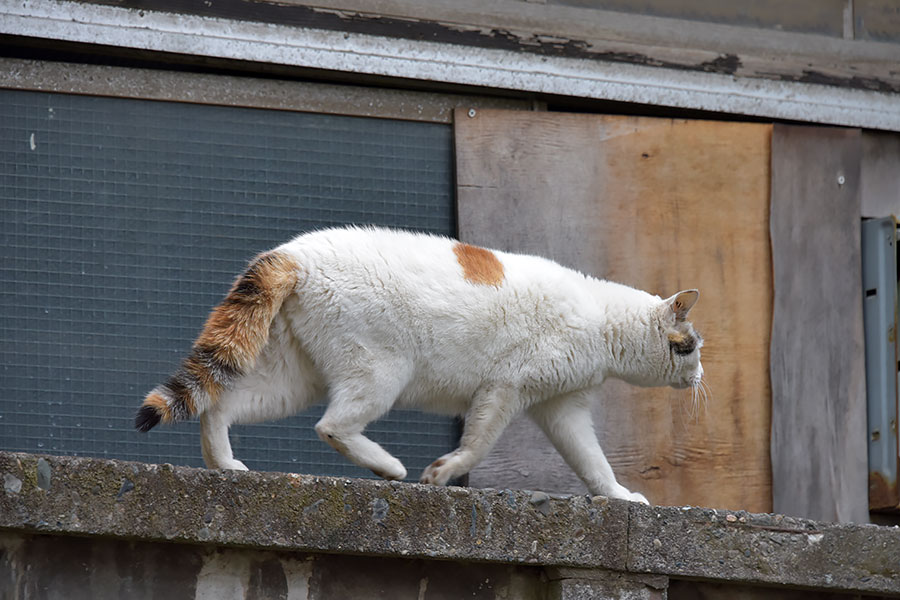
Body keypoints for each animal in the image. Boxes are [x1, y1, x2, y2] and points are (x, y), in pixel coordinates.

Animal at [135, 227, 704, 504]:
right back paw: (389, 467)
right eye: (692, 347)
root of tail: (294, 254)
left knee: (221, 405)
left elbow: (593, 461)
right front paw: (444, 472)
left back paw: (224, 465)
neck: (601, 319)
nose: (702, 376)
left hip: (291, 379)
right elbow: (478, 444)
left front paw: (619, 497)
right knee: (331, 425)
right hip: (380, 372)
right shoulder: (505, 388)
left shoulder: (564, 409)